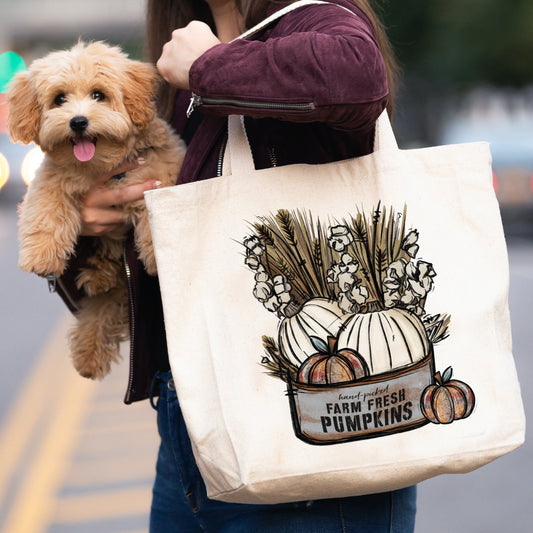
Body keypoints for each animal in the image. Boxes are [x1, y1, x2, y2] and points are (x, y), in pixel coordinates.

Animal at [6, 43, 187, 380]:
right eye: (59, 99)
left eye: (98, 95)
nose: (78, 122)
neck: (100, 166)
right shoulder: (51, 179)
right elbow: (45, 210)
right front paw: (41, 256)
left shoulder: (160, 169)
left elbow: (154, 206)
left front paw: (156, 254)